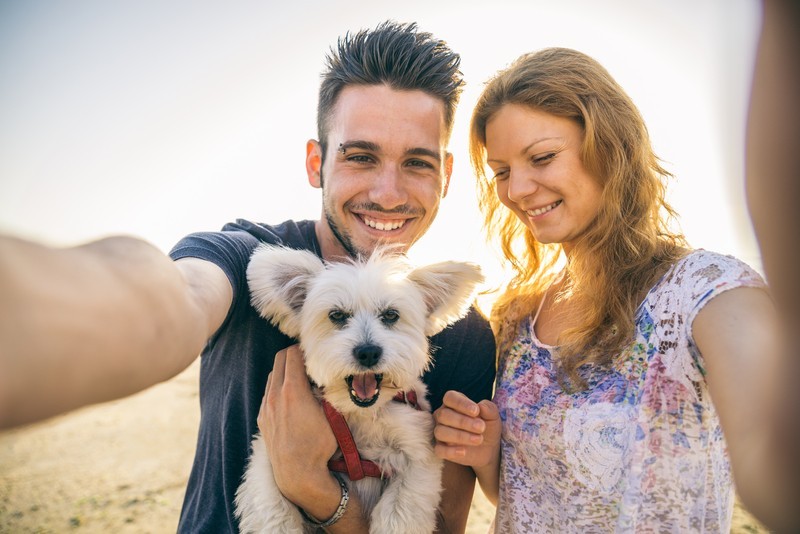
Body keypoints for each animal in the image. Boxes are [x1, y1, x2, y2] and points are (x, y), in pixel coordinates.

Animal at [234, 245, 484, 532]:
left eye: (391, 315)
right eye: (336, 315)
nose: (368, 352)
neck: (361, 416)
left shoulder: (418, 453)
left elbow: (399, 513)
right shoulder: (272, 451)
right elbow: (271, 506)